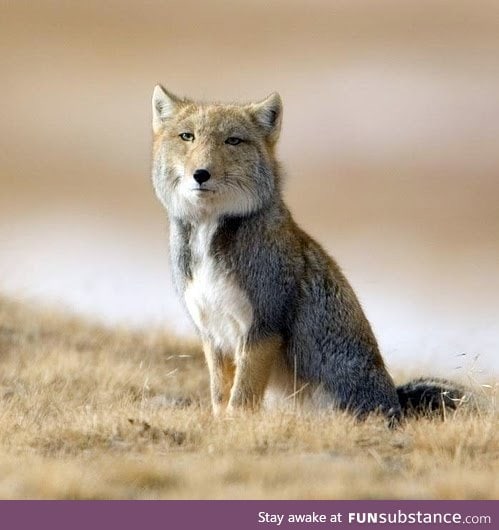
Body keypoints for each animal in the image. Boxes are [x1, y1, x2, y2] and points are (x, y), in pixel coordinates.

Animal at [151, 84, 468, 420]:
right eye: (187, 136)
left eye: (232, 140)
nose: (201, 174)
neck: (208, 236)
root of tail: (395, 405)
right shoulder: (213, 334)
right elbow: (220, 397)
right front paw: (220, 423)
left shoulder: (262, 327)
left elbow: (241, 399)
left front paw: (235, 424)